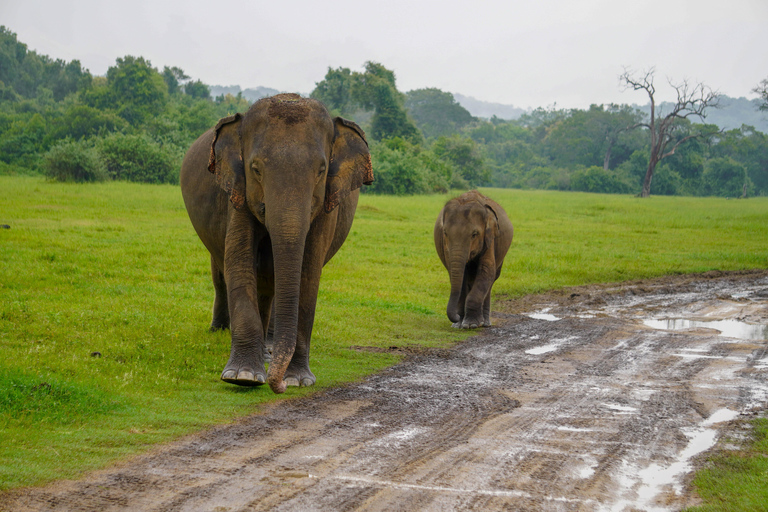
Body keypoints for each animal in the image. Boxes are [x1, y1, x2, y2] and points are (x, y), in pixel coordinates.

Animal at [180, 94, 373, 394]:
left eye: (321, 170)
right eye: (256, 169)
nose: (279, 385)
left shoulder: (327, 204)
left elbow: (308, 272)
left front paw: (299, 380)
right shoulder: (238, 194)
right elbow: (239, 262)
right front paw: (243, 376)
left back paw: (269, 349)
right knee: (222, 274)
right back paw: (222, 332)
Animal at [434, 190, 513, 329]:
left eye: (474, 234)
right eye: (445, 233)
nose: (456, 317)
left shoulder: (489, 238)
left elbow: (486, 271)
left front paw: (471, 325)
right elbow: (458, 275)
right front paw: (460, 324)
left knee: (491, 280)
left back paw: (485, 323)